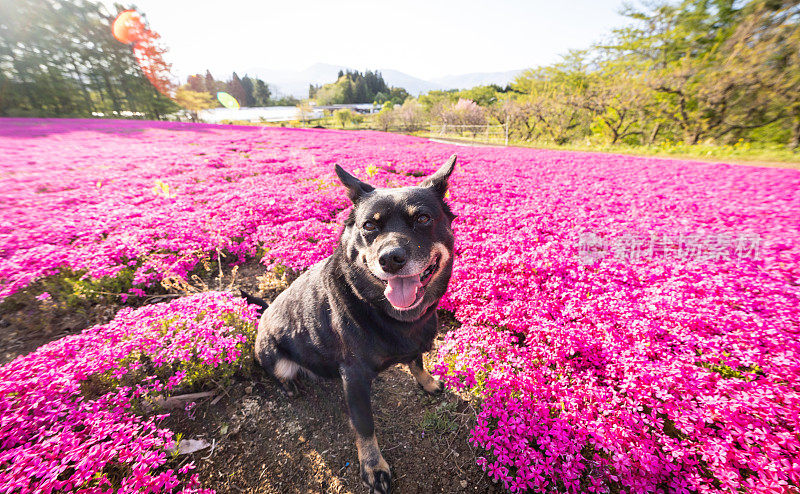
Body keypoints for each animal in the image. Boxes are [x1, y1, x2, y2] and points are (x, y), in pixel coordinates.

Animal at [242, 155, 456, 494]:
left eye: (422, 218)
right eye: (369, 226)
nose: (390, 258)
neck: (383, 310)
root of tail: (264, 314)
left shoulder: (412, 345)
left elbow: (416, 361)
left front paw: (427, 381)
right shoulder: (354, 377)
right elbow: (365, 427)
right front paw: (374, 467)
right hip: (276, 358)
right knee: (281, 374)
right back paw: (290, 386)